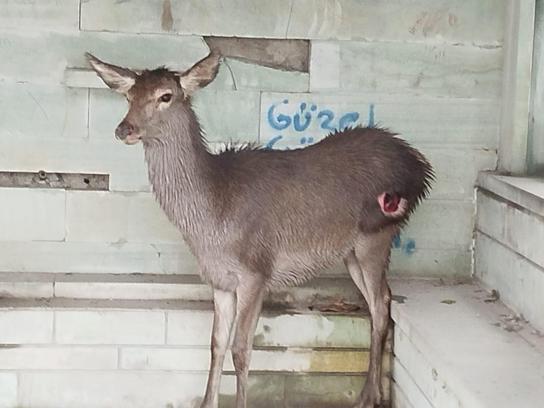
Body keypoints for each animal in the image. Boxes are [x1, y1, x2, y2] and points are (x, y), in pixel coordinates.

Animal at [86, 51, 434, 408]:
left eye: (165, 96)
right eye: (129, 95)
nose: (124, 129)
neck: (213, 219)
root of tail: (419, 167)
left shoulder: (256, 271)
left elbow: (241, 350)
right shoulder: (220, 280)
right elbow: (216, 344)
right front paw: (207, 402)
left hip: (376, 235)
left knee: (380, 304)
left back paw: (369, 397)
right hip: (351, 251)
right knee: (380, 302)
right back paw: (370, 393)